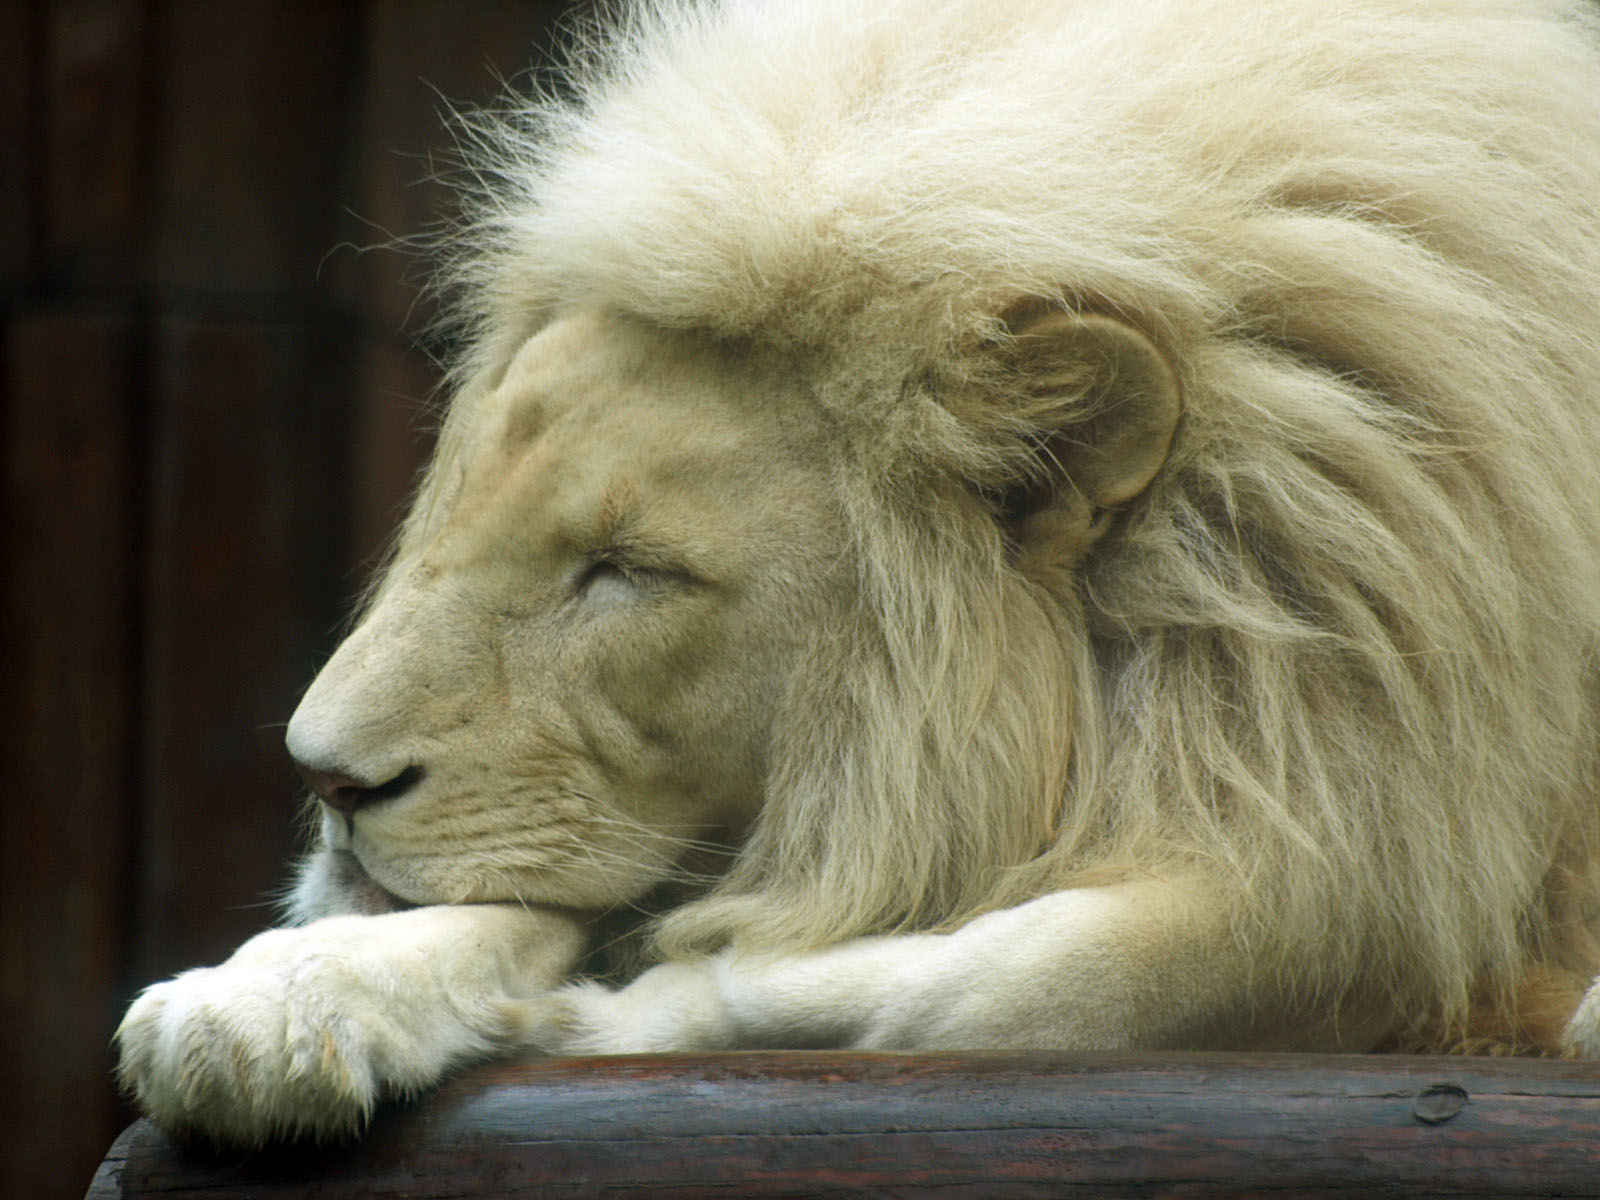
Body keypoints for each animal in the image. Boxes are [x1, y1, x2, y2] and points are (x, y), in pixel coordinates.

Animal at [116, 0, 1600, 1146]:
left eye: (628, 572)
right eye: (468, 512)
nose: (323, 778)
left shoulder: (1359, 854)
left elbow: (1024, 983)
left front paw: (626, 1011)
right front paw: (276, 999)